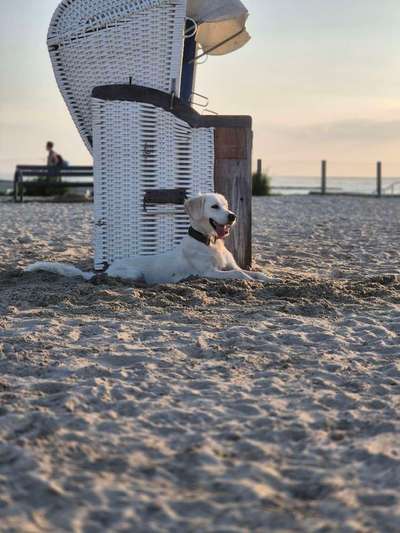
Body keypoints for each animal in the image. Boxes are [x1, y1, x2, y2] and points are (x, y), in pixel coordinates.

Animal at [25, 193, 268, 284]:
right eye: (214, 206)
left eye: (226, 205)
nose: (233, 216)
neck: (210, 243)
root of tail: (107, 269)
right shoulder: (208, 273)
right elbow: (239, 274)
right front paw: (251, 280)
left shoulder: (229, 266)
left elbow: (250, 271)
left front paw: (266, 278)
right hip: (133, 273)